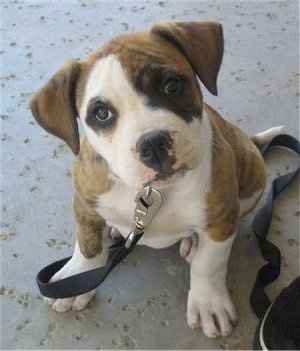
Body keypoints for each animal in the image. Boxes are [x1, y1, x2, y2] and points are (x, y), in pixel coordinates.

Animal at [29, 21, 282, 338]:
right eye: (101, 113)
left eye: (171, 86)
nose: (154, 144)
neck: (151, 192)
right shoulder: (85, 204)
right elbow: (88, 245)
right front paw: (78, 276)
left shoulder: (221, 219)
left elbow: (208, 264)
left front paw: (208, 303)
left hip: (253, 177)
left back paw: (190, 243)